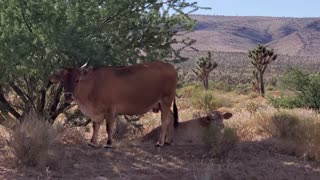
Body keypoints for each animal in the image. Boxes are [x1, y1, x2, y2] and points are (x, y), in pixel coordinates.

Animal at [48, 61, 179, 147]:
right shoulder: (96, 112)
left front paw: (109, 143)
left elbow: (108, 127)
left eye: (77, 80)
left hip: (166, 100)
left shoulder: (110, 109)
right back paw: (169, 140)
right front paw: (92, 142)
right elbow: (96, 126)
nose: (68, 95)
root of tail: (171, 67)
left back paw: (160, 142)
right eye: (62, 81)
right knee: (171, 117)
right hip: (161, 104)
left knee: (165, 121)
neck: (94, 85)